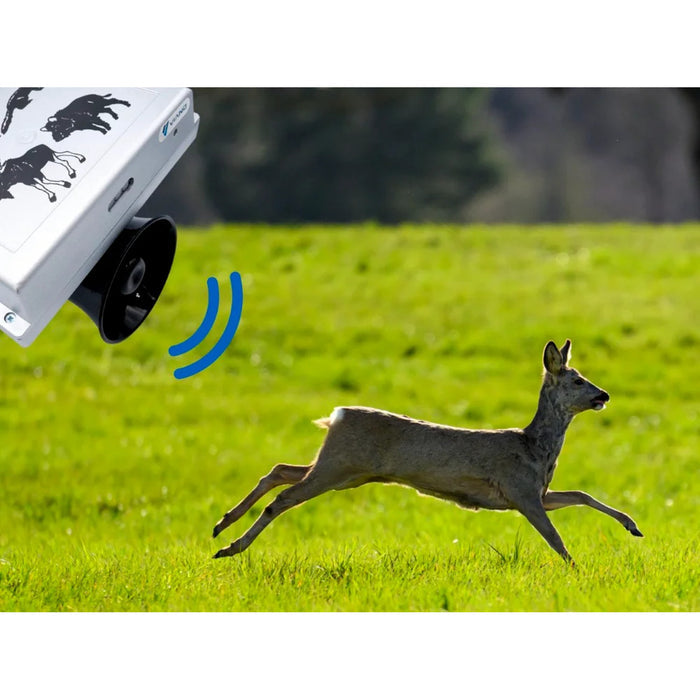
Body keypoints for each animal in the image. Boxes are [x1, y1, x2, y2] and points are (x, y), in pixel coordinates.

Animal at [212, 339, 643, 564]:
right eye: (577, 379)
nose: (604, 395)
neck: (535, 449)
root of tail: (336, 416)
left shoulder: (537, 492)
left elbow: (581, 495)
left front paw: (632, 526)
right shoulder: (521, 492)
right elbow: (555, 538)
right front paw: (578, 570)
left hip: (344, 471)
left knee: (280, 469)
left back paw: (222, 524)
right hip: (338, 467)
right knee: (284, 496)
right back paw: (228, 547)